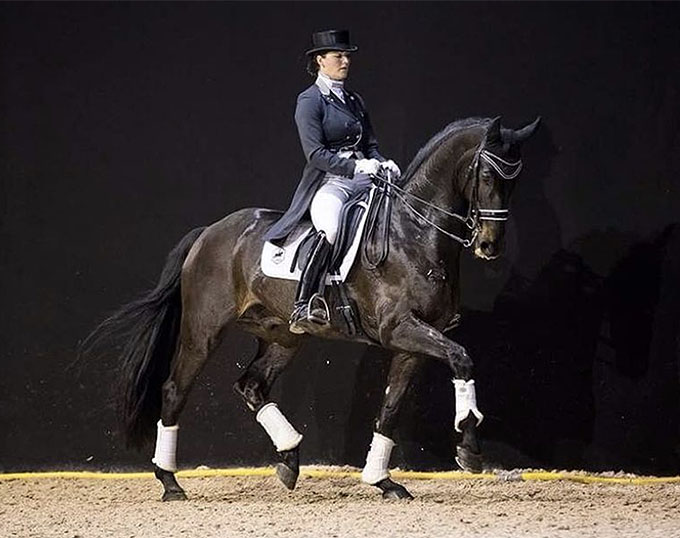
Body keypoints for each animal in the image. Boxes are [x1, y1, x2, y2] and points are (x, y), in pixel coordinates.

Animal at [86, 115, 540, 501]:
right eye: (487, 175)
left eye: (515, 182)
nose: (489, 246)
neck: (413, 233)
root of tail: (209, 232)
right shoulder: (400, 328)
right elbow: (462, 359)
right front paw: (469, 446)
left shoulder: (413, 341)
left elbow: (390, 408)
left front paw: (383, 481)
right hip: (203, 331)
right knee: (175, 389)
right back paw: (170, 482)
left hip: (282, 336)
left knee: (251, 386)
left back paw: (289, 460)